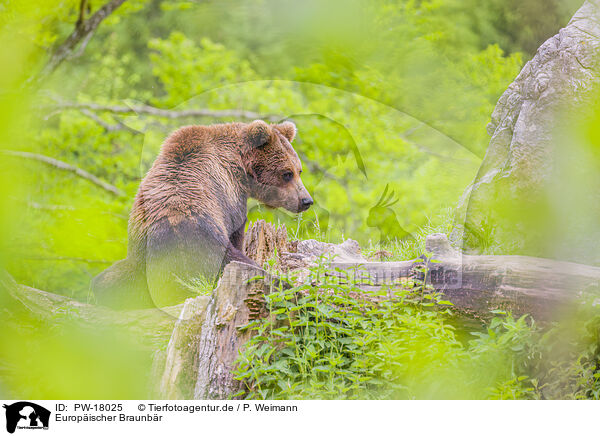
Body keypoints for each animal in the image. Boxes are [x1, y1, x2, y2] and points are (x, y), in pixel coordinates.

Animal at [94, 121, 314, 308]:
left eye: (299, 171)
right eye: (287, 173)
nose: (306, 201)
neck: (240, 168)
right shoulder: (228, 199)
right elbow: (237, 234)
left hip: (139, 257)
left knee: (108, 281)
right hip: (201, 247)